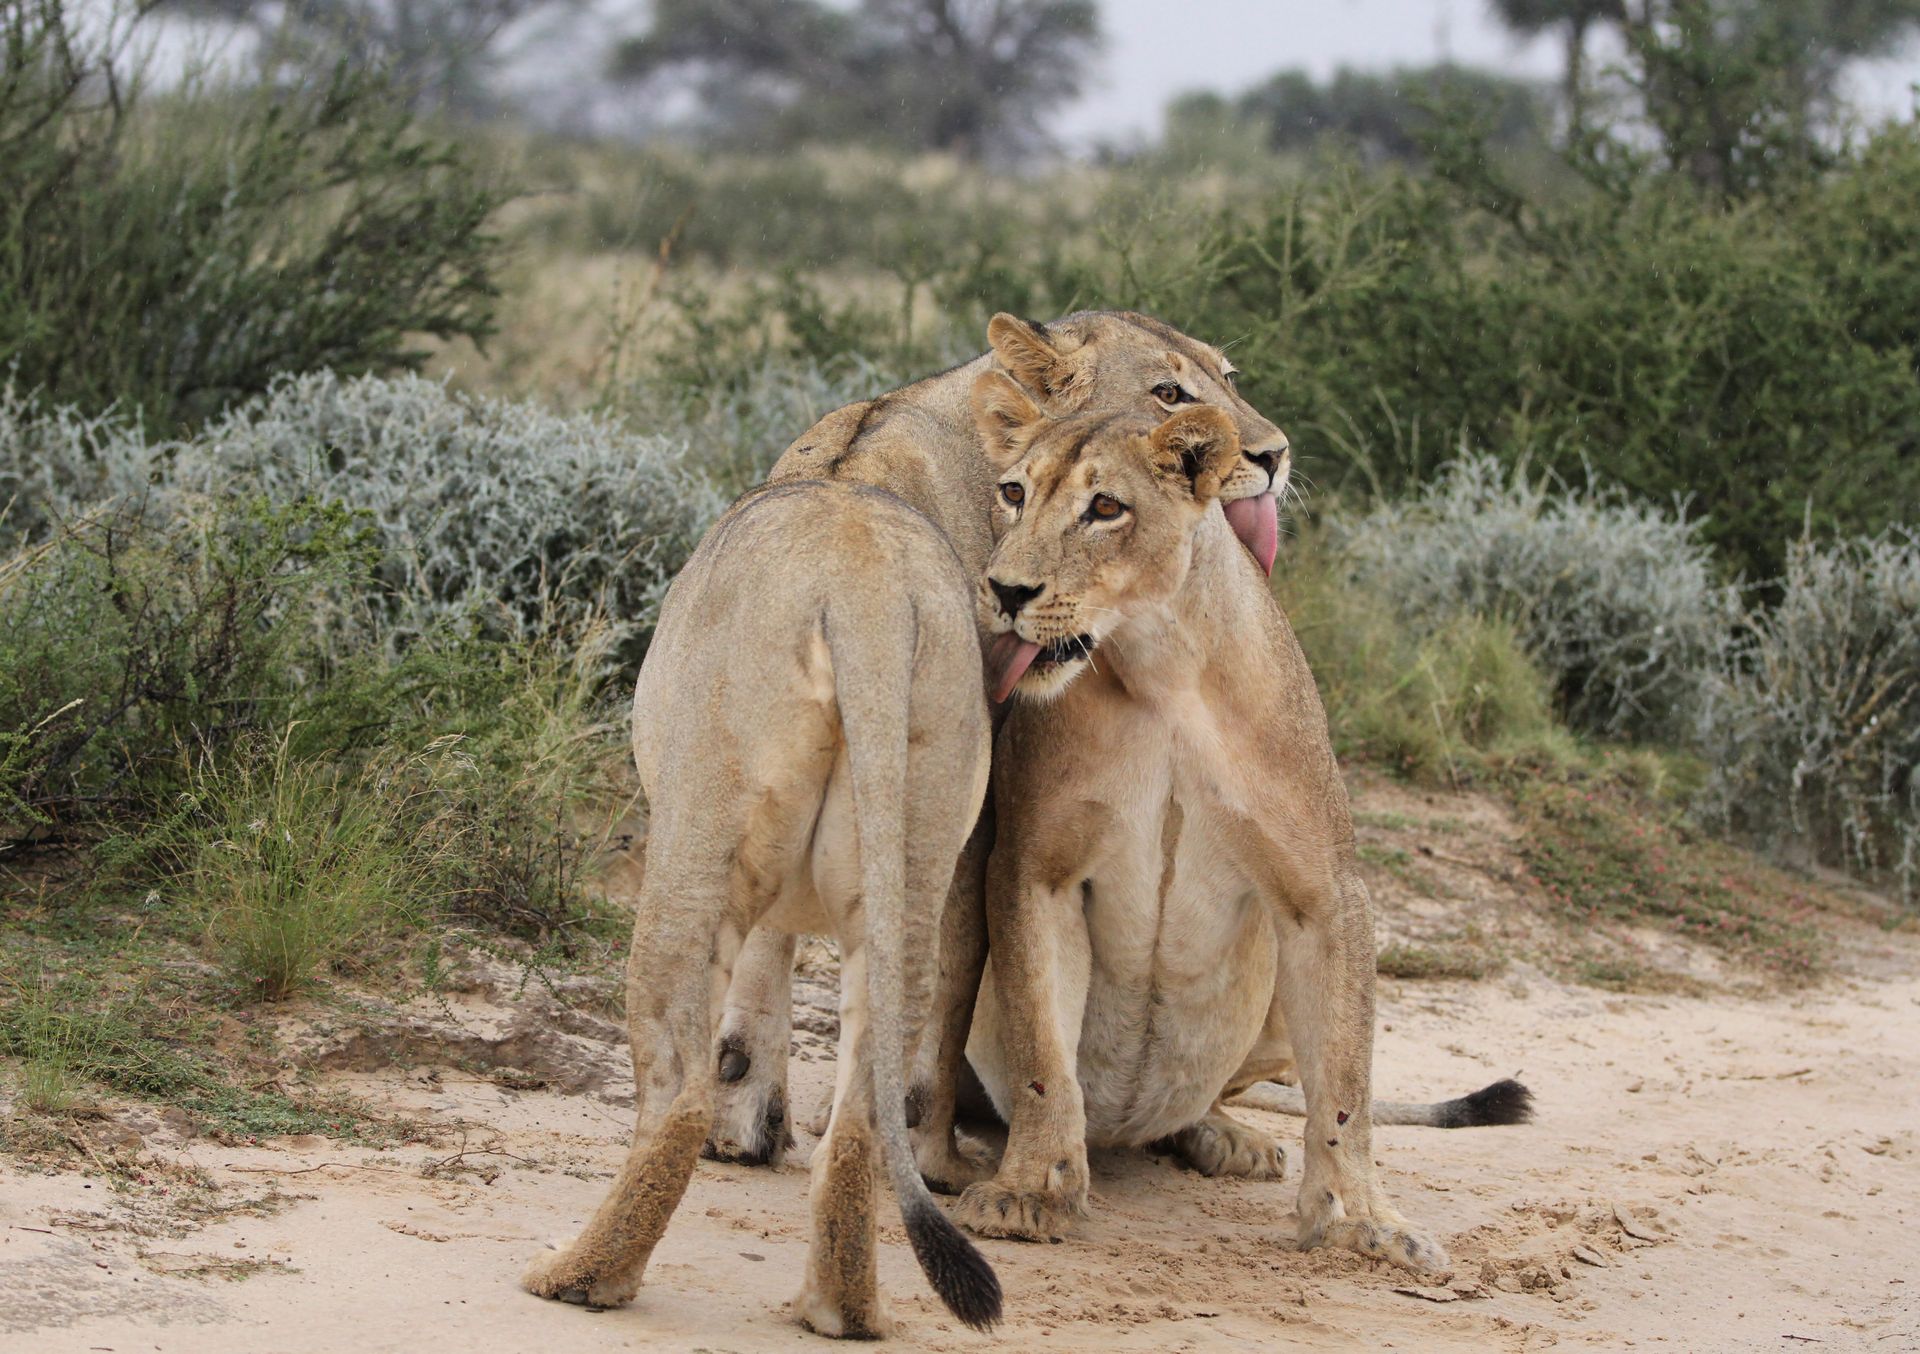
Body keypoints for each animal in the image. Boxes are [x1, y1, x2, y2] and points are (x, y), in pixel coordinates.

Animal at [519, 479, 1000, 1336]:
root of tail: (868, 593)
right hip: (913, 857)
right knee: (859, 1120)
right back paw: (839, 1311)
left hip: (698, 842)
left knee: (679, 1099)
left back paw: (581, 1276)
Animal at [947, 375, 1456, 1272]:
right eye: (1013, 494)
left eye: (1105, 508)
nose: (1006, 593)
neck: (1161, 667)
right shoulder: (1034, 870)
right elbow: (1044, 1053)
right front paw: (1031, 1190)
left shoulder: (1327, 897)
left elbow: (1346, 1086)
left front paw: (1363, 1222)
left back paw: (1226, 1138)